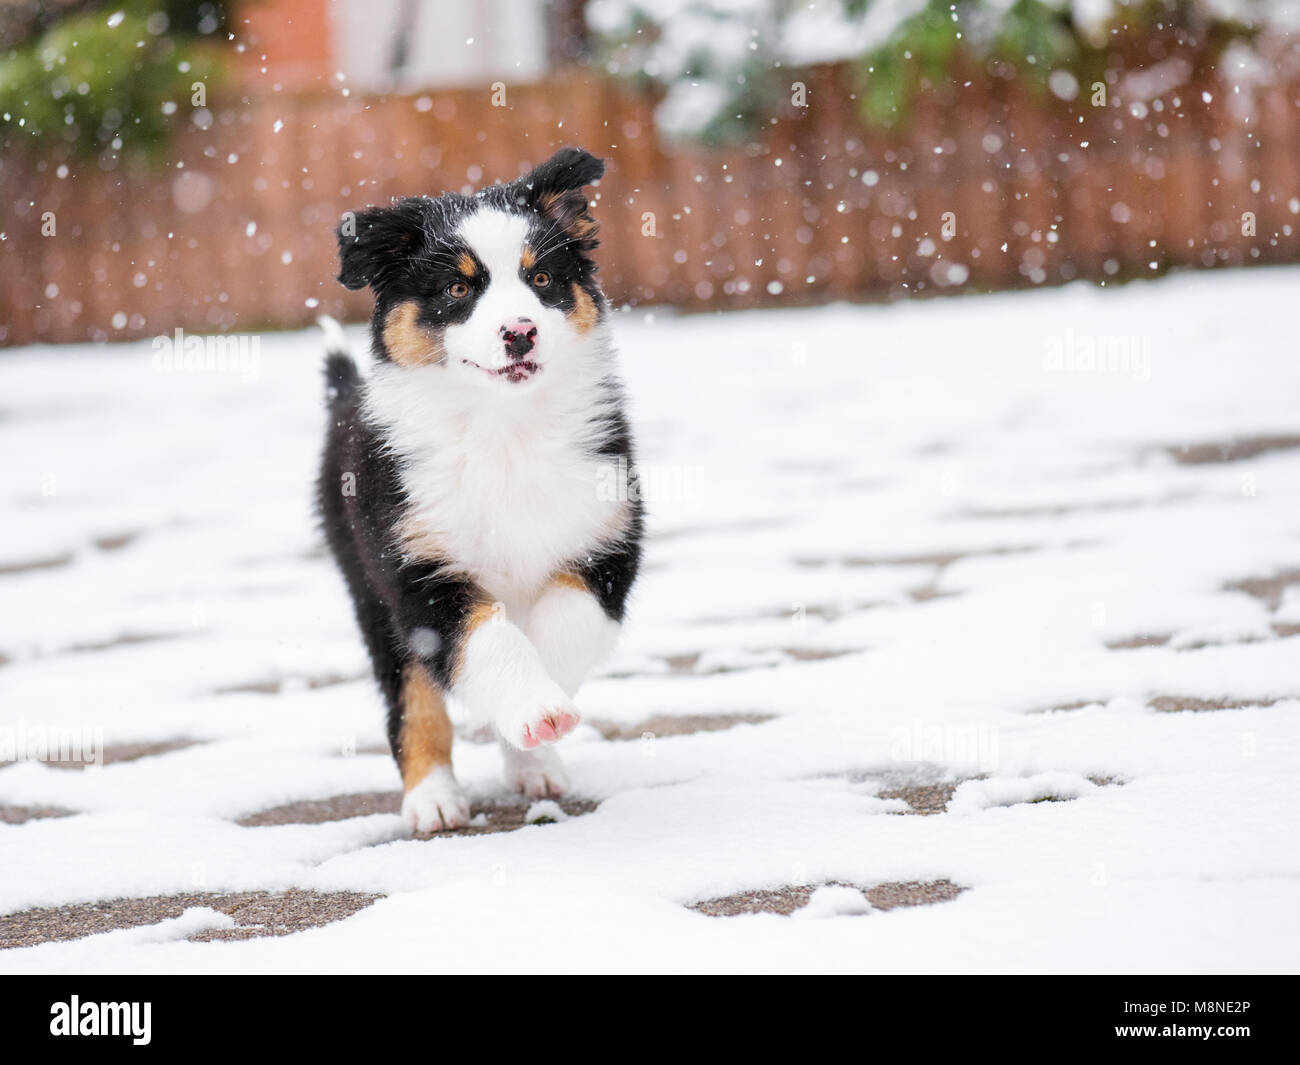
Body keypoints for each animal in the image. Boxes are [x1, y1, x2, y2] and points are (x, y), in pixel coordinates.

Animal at [314, 147, 639, 832]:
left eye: (540, 278)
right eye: (459, 290)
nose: (520, 332)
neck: (502, 429)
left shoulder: (607, 540)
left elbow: (565, 624)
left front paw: (538, 723)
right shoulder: (417, 573)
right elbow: (488, 644)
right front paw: (537, 710)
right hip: (368, 591)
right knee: (412, 699)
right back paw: (433, 799)